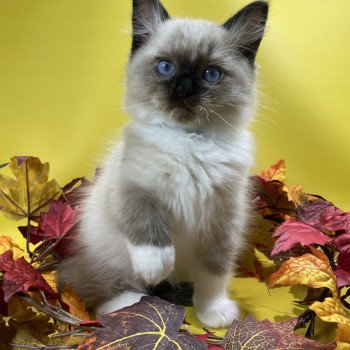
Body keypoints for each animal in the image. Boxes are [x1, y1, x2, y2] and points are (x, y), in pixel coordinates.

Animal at [58, 0, 270, 328]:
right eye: (165, 67)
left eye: (210, 74)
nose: (183, 89)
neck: (190, 141)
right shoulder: (132, 189)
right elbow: (150, 230)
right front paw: (157, 265)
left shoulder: (224, 219)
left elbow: (214, 274)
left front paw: (212, 312)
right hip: (110, 250)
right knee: (111, 290)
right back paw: (133, 305)